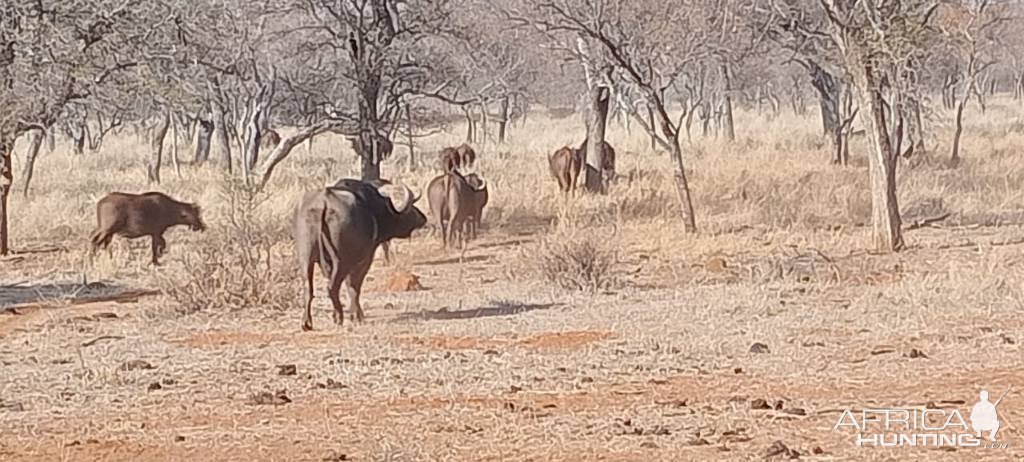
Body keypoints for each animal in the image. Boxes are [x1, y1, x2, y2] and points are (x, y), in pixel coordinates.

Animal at [294, 179, 425, 331]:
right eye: (411, 209)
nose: (423, 218)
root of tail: (323, 203)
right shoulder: (364, 260)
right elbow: (354, 287)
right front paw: (357, 316)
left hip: (306, 258)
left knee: (308, 288)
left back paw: (307, 322)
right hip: (341, 261)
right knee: (332, 287)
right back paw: (339, 317)